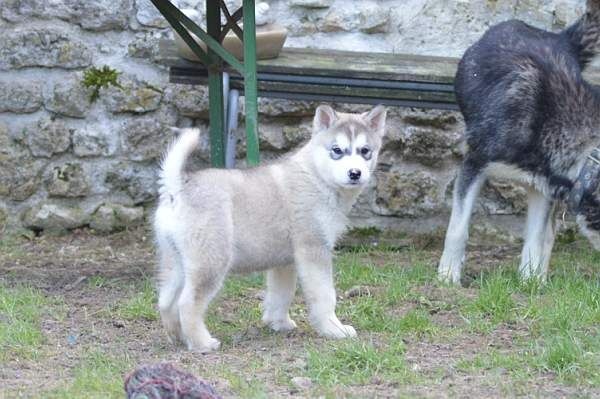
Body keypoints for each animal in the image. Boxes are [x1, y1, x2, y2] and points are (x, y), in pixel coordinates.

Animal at [155, 104, 386, 352]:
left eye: (365, 151)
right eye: (337, 150)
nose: (355, 173)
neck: (316, 175)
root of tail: (179, 187)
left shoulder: (284, 262)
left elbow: (281, 294)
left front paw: (278, 323)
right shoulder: (314, 249)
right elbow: (325, 295)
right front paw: (334, 329)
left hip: (176, 261)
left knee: (166, 300)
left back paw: (178, 337)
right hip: (211, 261)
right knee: (187, 302)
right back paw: (202, 343)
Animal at [438, 0, 600, 284]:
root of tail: (558, 37)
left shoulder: (544, 188)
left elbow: (536, 239)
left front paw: (531, 282)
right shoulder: (474, 164)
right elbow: (458, 228)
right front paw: (448, 275)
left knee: (548, 235)